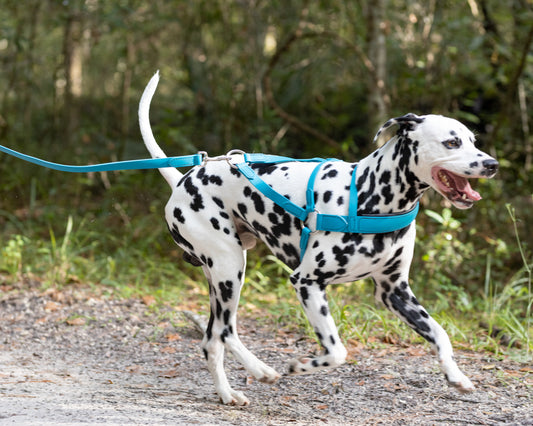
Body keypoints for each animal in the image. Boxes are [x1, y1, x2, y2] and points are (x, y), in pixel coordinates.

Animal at [138, 73, 498, 406]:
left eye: (472, 140)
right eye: (451, 143)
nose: (492, 164)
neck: (369, 194)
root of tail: (183, 179)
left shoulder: (394, 291)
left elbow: (440, 334)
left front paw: (456, 375)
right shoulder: (307, 281)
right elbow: (337, 350)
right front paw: (302, 365)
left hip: (223, 275)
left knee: (214, 338)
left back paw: (240, 385)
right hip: (230, 269)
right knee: (224, 332)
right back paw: (250, 378)